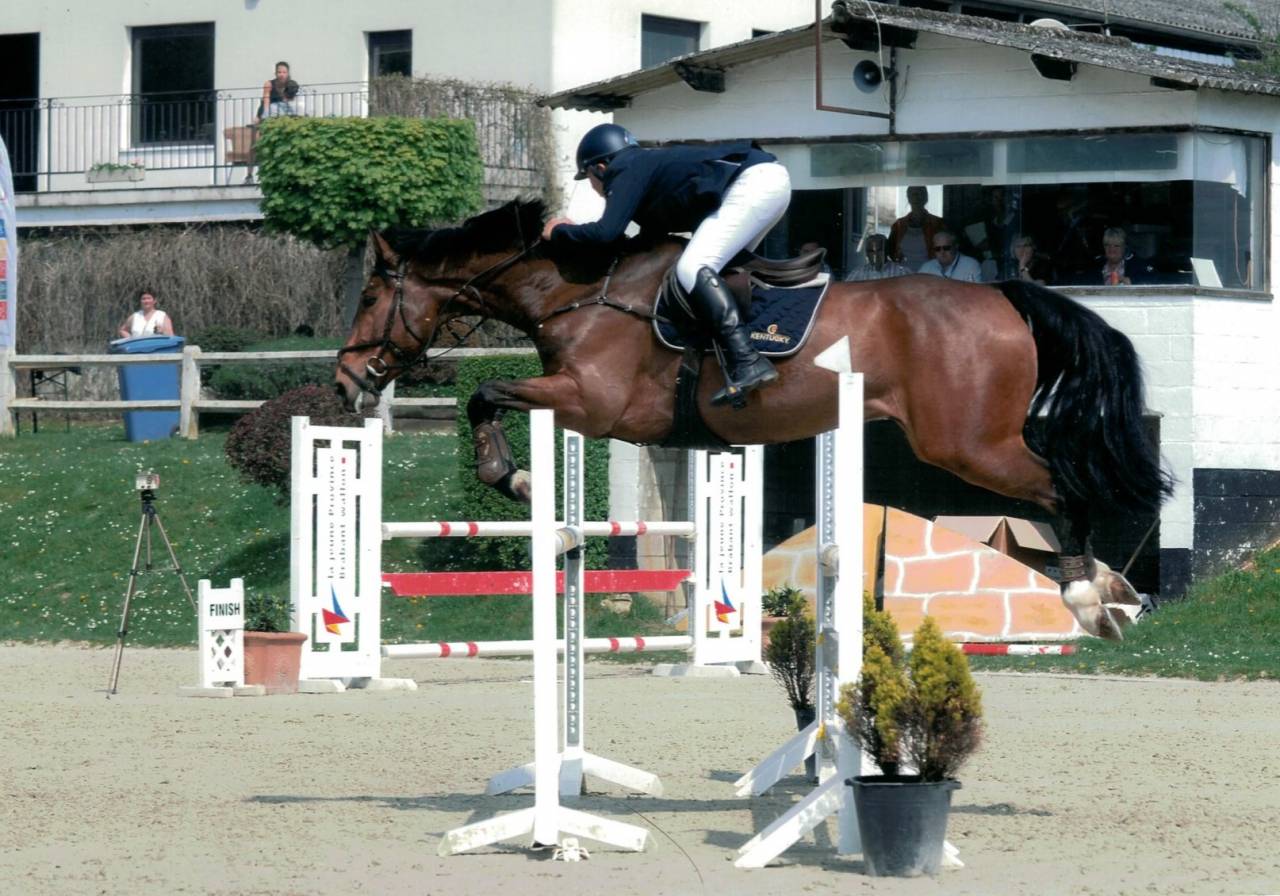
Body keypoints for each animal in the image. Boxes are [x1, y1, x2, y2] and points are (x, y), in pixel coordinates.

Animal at [335, 199, 1173, 641]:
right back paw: (1110, 590)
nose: (346, 382)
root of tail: (1004, 294)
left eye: (371, 296)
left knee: (1061, 485)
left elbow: (487, 394)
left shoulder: (592, 401)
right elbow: (489, 397)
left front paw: (512, 479)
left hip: (966, 445)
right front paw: (517, 481)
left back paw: (1092, 595)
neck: (577, 292)